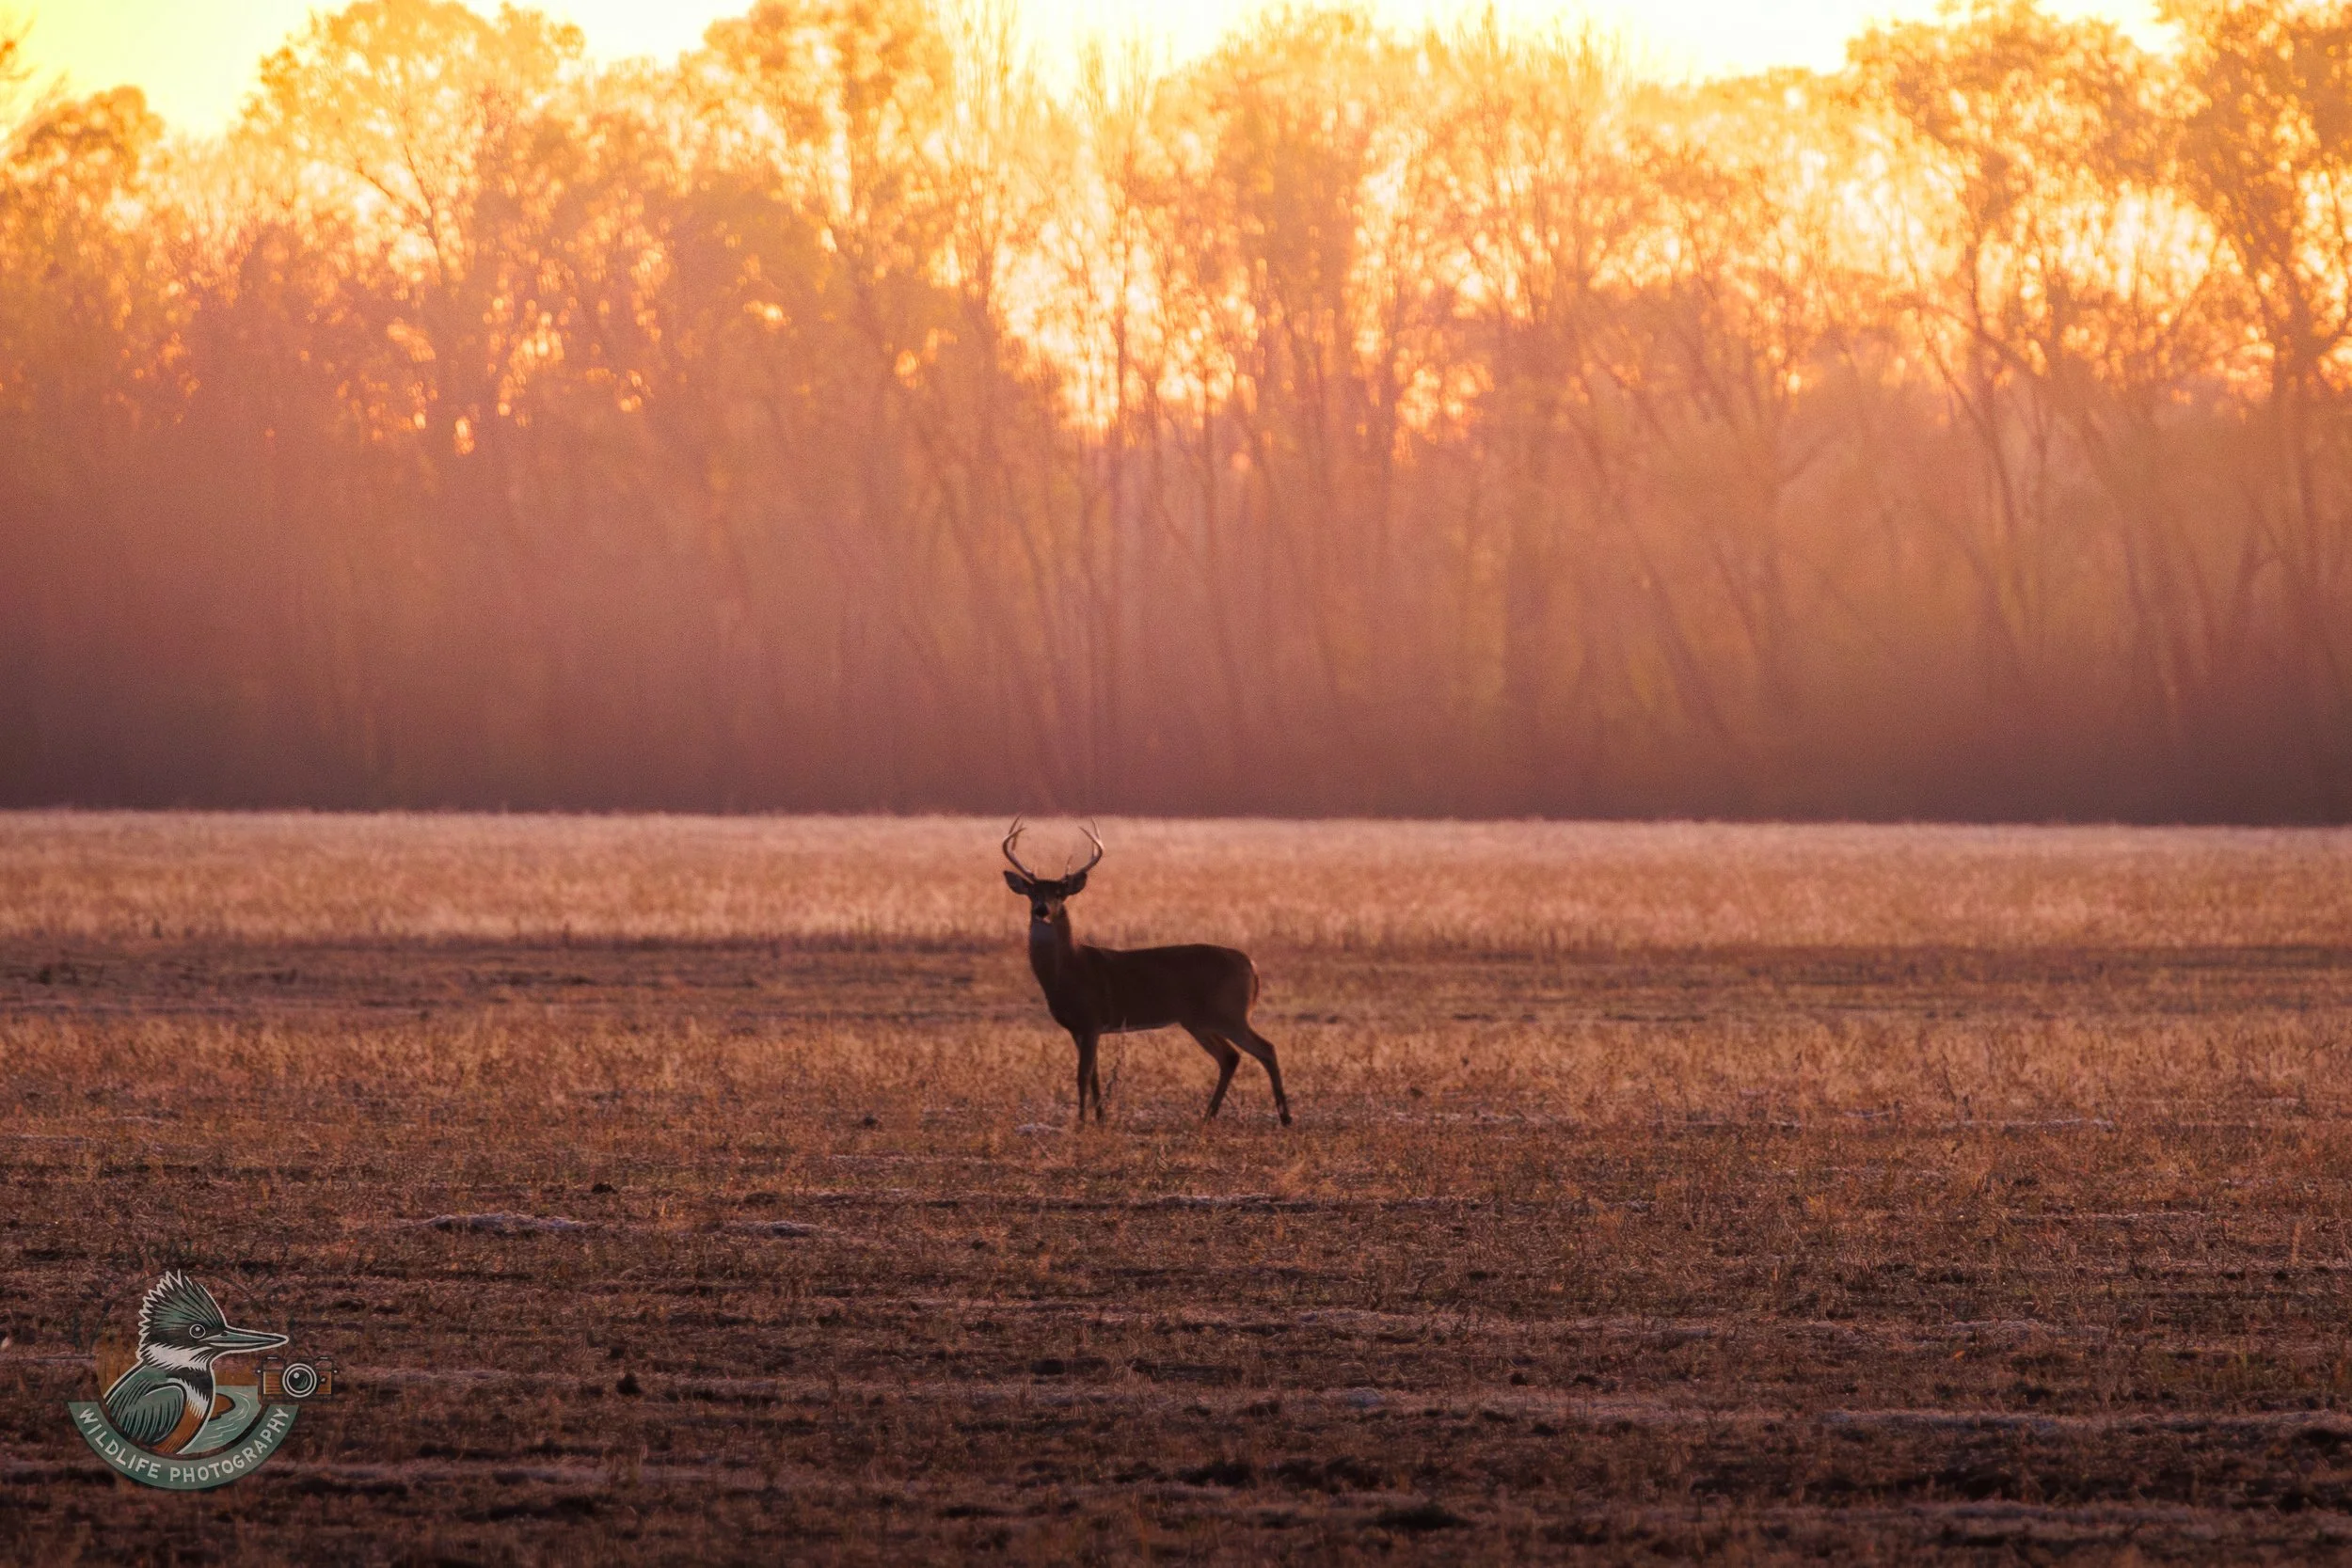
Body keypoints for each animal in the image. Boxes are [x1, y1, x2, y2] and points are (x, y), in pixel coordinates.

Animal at [1002, 820, 1292, 1127]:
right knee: (1230, 1056)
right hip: (1198, 1020)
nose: (1041, 910)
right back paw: (1208, 1116)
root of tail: (1251, 964)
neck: (1069, 970)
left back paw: (1285, 1117)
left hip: (1229, 1012)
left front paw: (1080, 1124)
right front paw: (1100, 1119)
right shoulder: (1078, 1028)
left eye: (1059, 893)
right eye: (1033, 893)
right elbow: (1094, 1075)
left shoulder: (1091, 1019)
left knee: (1265, 1048)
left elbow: (1082, 1075)